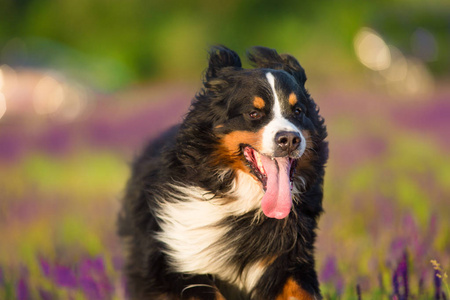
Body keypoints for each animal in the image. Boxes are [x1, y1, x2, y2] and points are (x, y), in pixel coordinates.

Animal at [118, 45, 328, 300]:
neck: (243, 205)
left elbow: (303, 290)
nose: (289, 139)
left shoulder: (288, 256)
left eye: (298, 111)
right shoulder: (181, 258)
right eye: (254, 113)